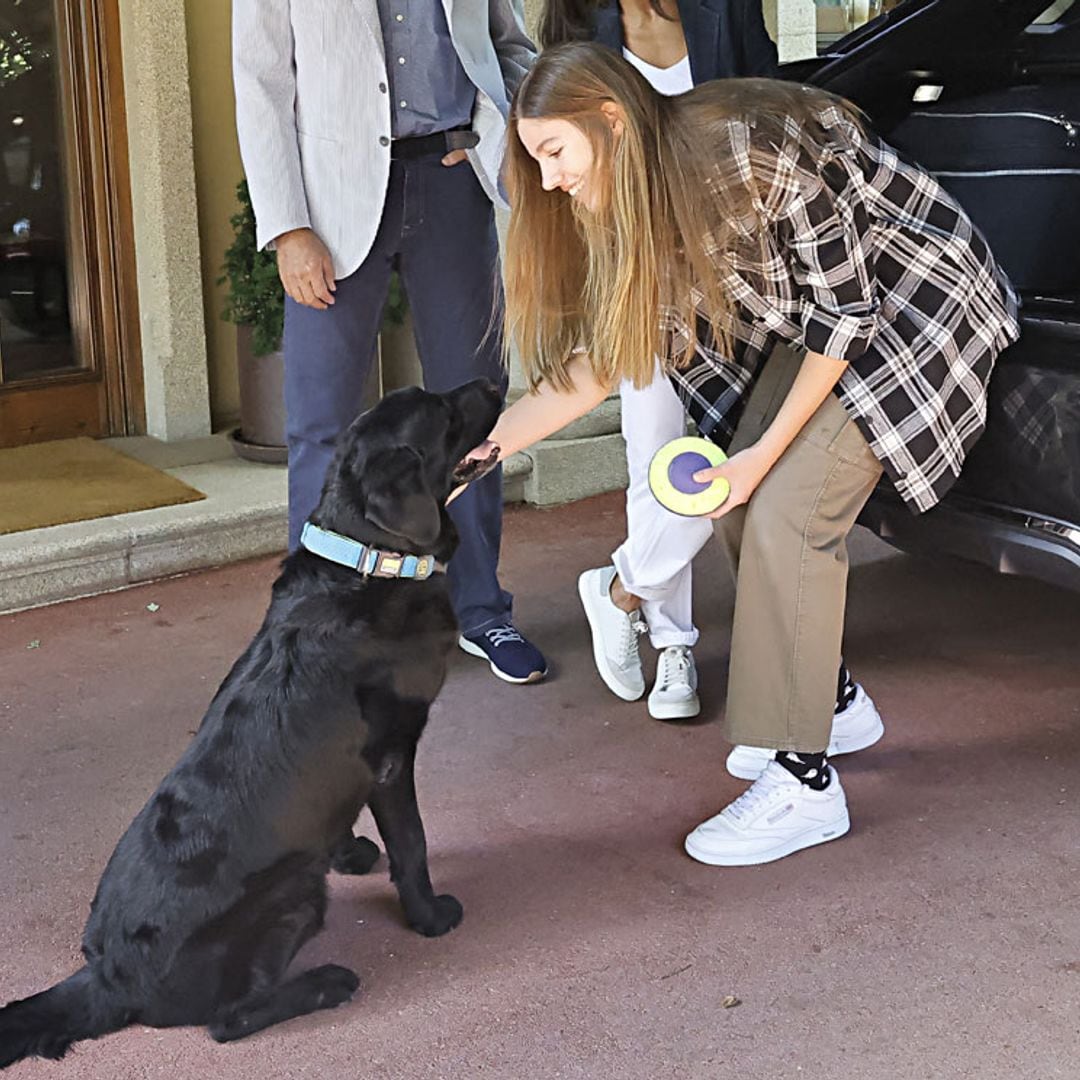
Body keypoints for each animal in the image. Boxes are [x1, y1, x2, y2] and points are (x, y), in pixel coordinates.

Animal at [0, 378, 505, 1062]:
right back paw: (325, 983)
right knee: (227, 1021)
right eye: (446, 414)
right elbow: (414, 844)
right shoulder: (392, 758)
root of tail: (108, 976)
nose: (495, 381)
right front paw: (428, 917)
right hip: (293, 892)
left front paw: (348, 851)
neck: (368, 560)